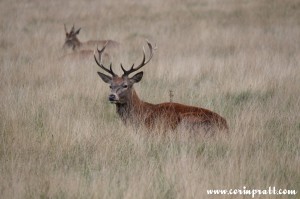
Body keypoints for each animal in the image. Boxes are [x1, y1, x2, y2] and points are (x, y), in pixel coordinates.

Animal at [95, 41, 229, 133]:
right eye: (110, 85)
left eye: (125, 85)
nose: (112, 96)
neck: (140, 114)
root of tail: (226, 127)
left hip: (187, 123)